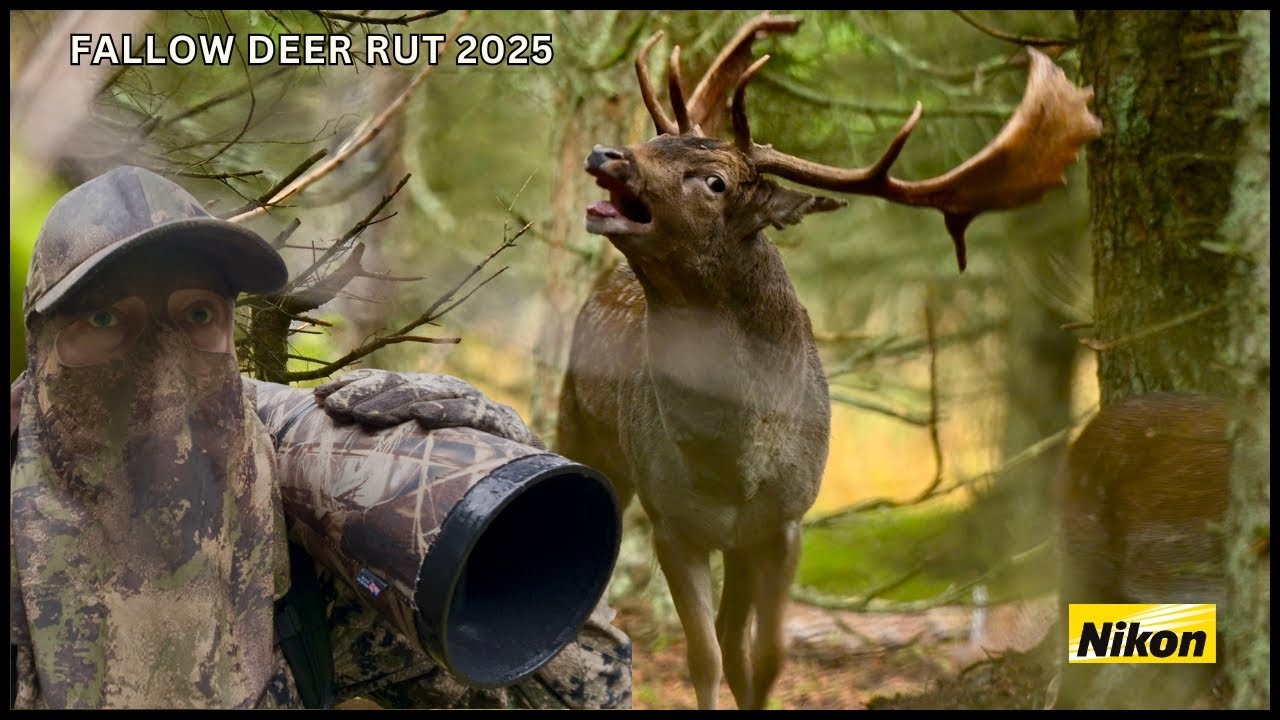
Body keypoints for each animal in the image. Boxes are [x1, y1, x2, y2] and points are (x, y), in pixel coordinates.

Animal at [554, 13, 1101, 710]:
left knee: (735, 635)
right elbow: (703, 657)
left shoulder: (786, 521)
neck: (731, 464)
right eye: (656, 140)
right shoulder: (671, 519)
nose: (608, 155)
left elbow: (764, 657)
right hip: (582, 430)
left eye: (714, 181)